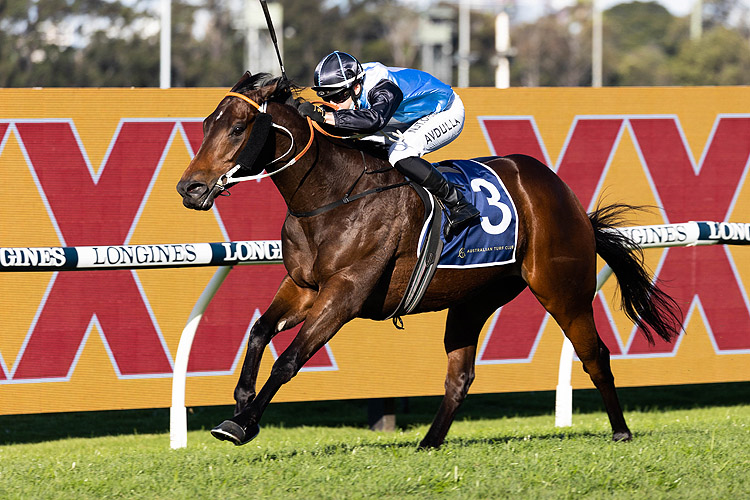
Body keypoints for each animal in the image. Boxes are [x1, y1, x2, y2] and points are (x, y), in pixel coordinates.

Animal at [179, 73, 684, 450]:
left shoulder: (346, 291)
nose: (190, 188)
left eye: (239, 128)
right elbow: (259, 331)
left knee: (594, 354)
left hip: (563, 288)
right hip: (473, 300)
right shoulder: (304, 287)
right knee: (460, 376)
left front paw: (242, 423)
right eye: (206, 123)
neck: (330, 196)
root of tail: (566, 196)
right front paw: (241, 404)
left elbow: (290, 359)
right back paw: (429, 442)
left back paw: (621, 431)